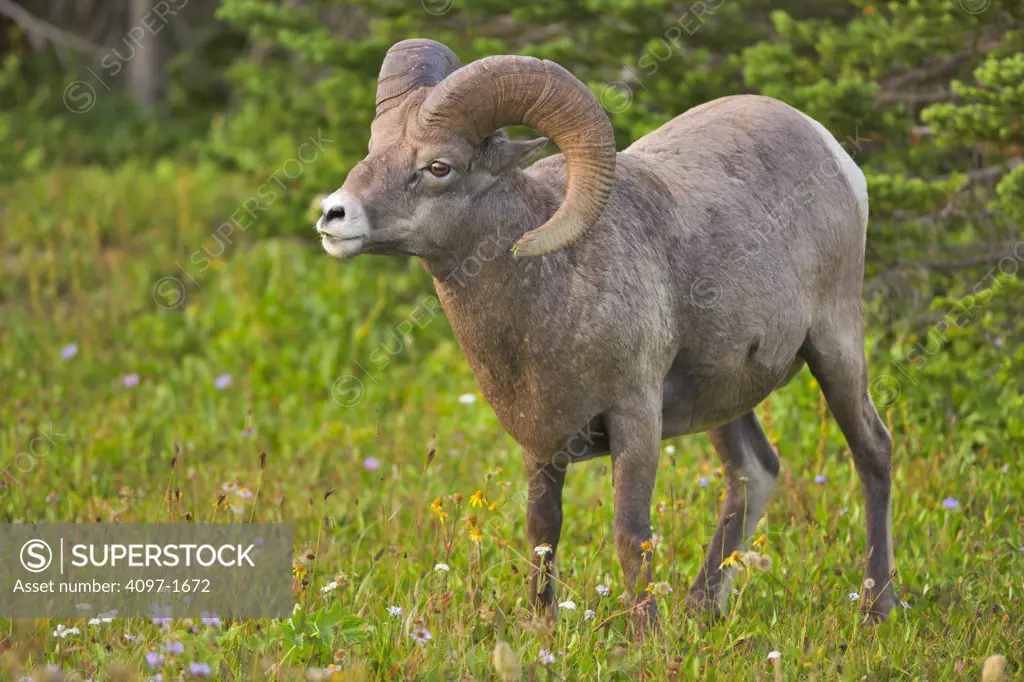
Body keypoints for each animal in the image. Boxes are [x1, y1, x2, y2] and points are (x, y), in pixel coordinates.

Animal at [317, 39, 897, 630]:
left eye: (439, 166)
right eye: (374, 148)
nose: (333, 216)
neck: (549, 297)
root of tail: (831, 151)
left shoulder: (634, 419)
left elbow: (630, 533)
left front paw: (647, 635)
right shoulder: (540, 441)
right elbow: (543, 530)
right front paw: (542, 626)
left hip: (835, 346)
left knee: (872, 452)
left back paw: (877, 608)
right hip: (723, 396)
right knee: (753, 472)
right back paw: (700, 609)